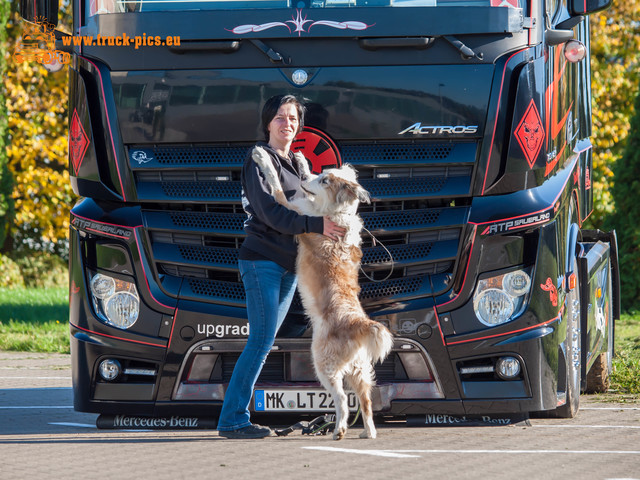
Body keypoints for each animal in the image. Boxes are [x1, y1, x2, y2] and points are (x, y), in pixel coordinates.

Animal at [251, 146, 392, 438]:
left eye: (326, 181)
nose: (305, 181)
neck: (337, 214)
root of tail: (357, 322)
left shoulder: (293, 207)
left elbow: (276, 186)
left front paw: (263, 159)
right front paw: (302, 162)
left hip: (323, 363)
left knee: (341, 399)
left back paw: (339, 429)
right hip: (360, 368)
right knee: (365, 400)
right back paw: (368, 432)